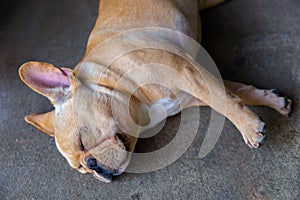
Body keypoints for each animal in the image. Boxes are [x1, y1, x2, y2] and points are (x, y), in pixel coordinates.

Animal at [18, 0, 290, 183]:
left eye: (83, 142)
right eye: (82, 170)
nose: (94, 167)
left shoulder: (185, 70)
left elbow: (223, 100)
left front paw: (248, 127)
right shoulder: (194, 86)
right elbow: (235, 92)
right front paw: (273, 102)